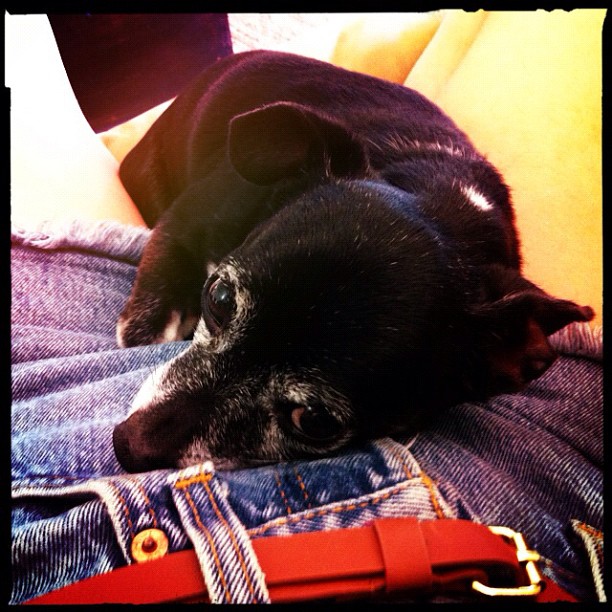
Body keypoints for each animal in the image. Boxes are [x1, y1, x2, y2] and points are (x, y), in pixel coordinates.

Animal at [113, 50, 594, 472]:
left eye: (313, 421)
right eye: (220, 299)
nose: (127, 444)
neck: (446, 201)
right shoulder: (182, 226)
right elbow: (146, 328)